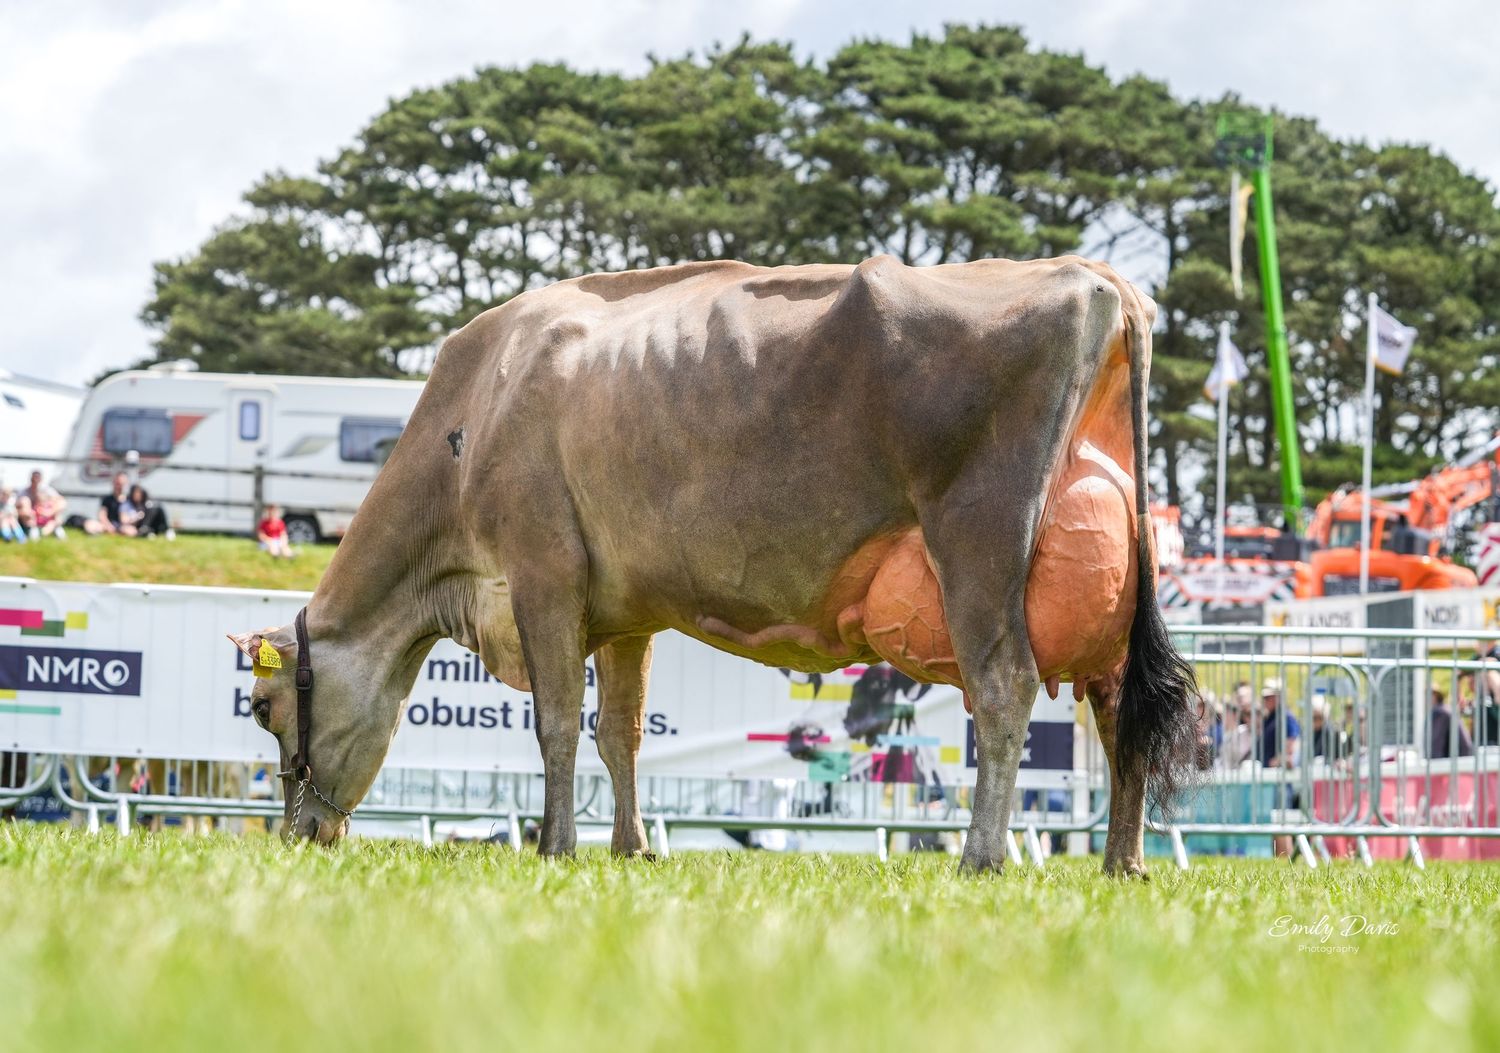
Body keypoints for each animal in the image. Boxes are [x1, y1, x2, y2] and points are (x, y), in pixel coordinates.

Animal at [228, 254, 1199, 875]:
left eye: (265, 707)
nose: (297, 835)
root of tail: (1096, 278)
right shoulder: (623, 608)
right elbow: (618, 730)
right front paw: (629, 849)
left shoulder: (543, 573)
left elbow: (556, 724)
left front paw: (554, 846)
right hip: (1103, 569)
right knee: (1119, 710)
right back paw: (1124, 862)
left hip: (979, 541)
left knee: (1003, 687)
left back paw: (983, 856)